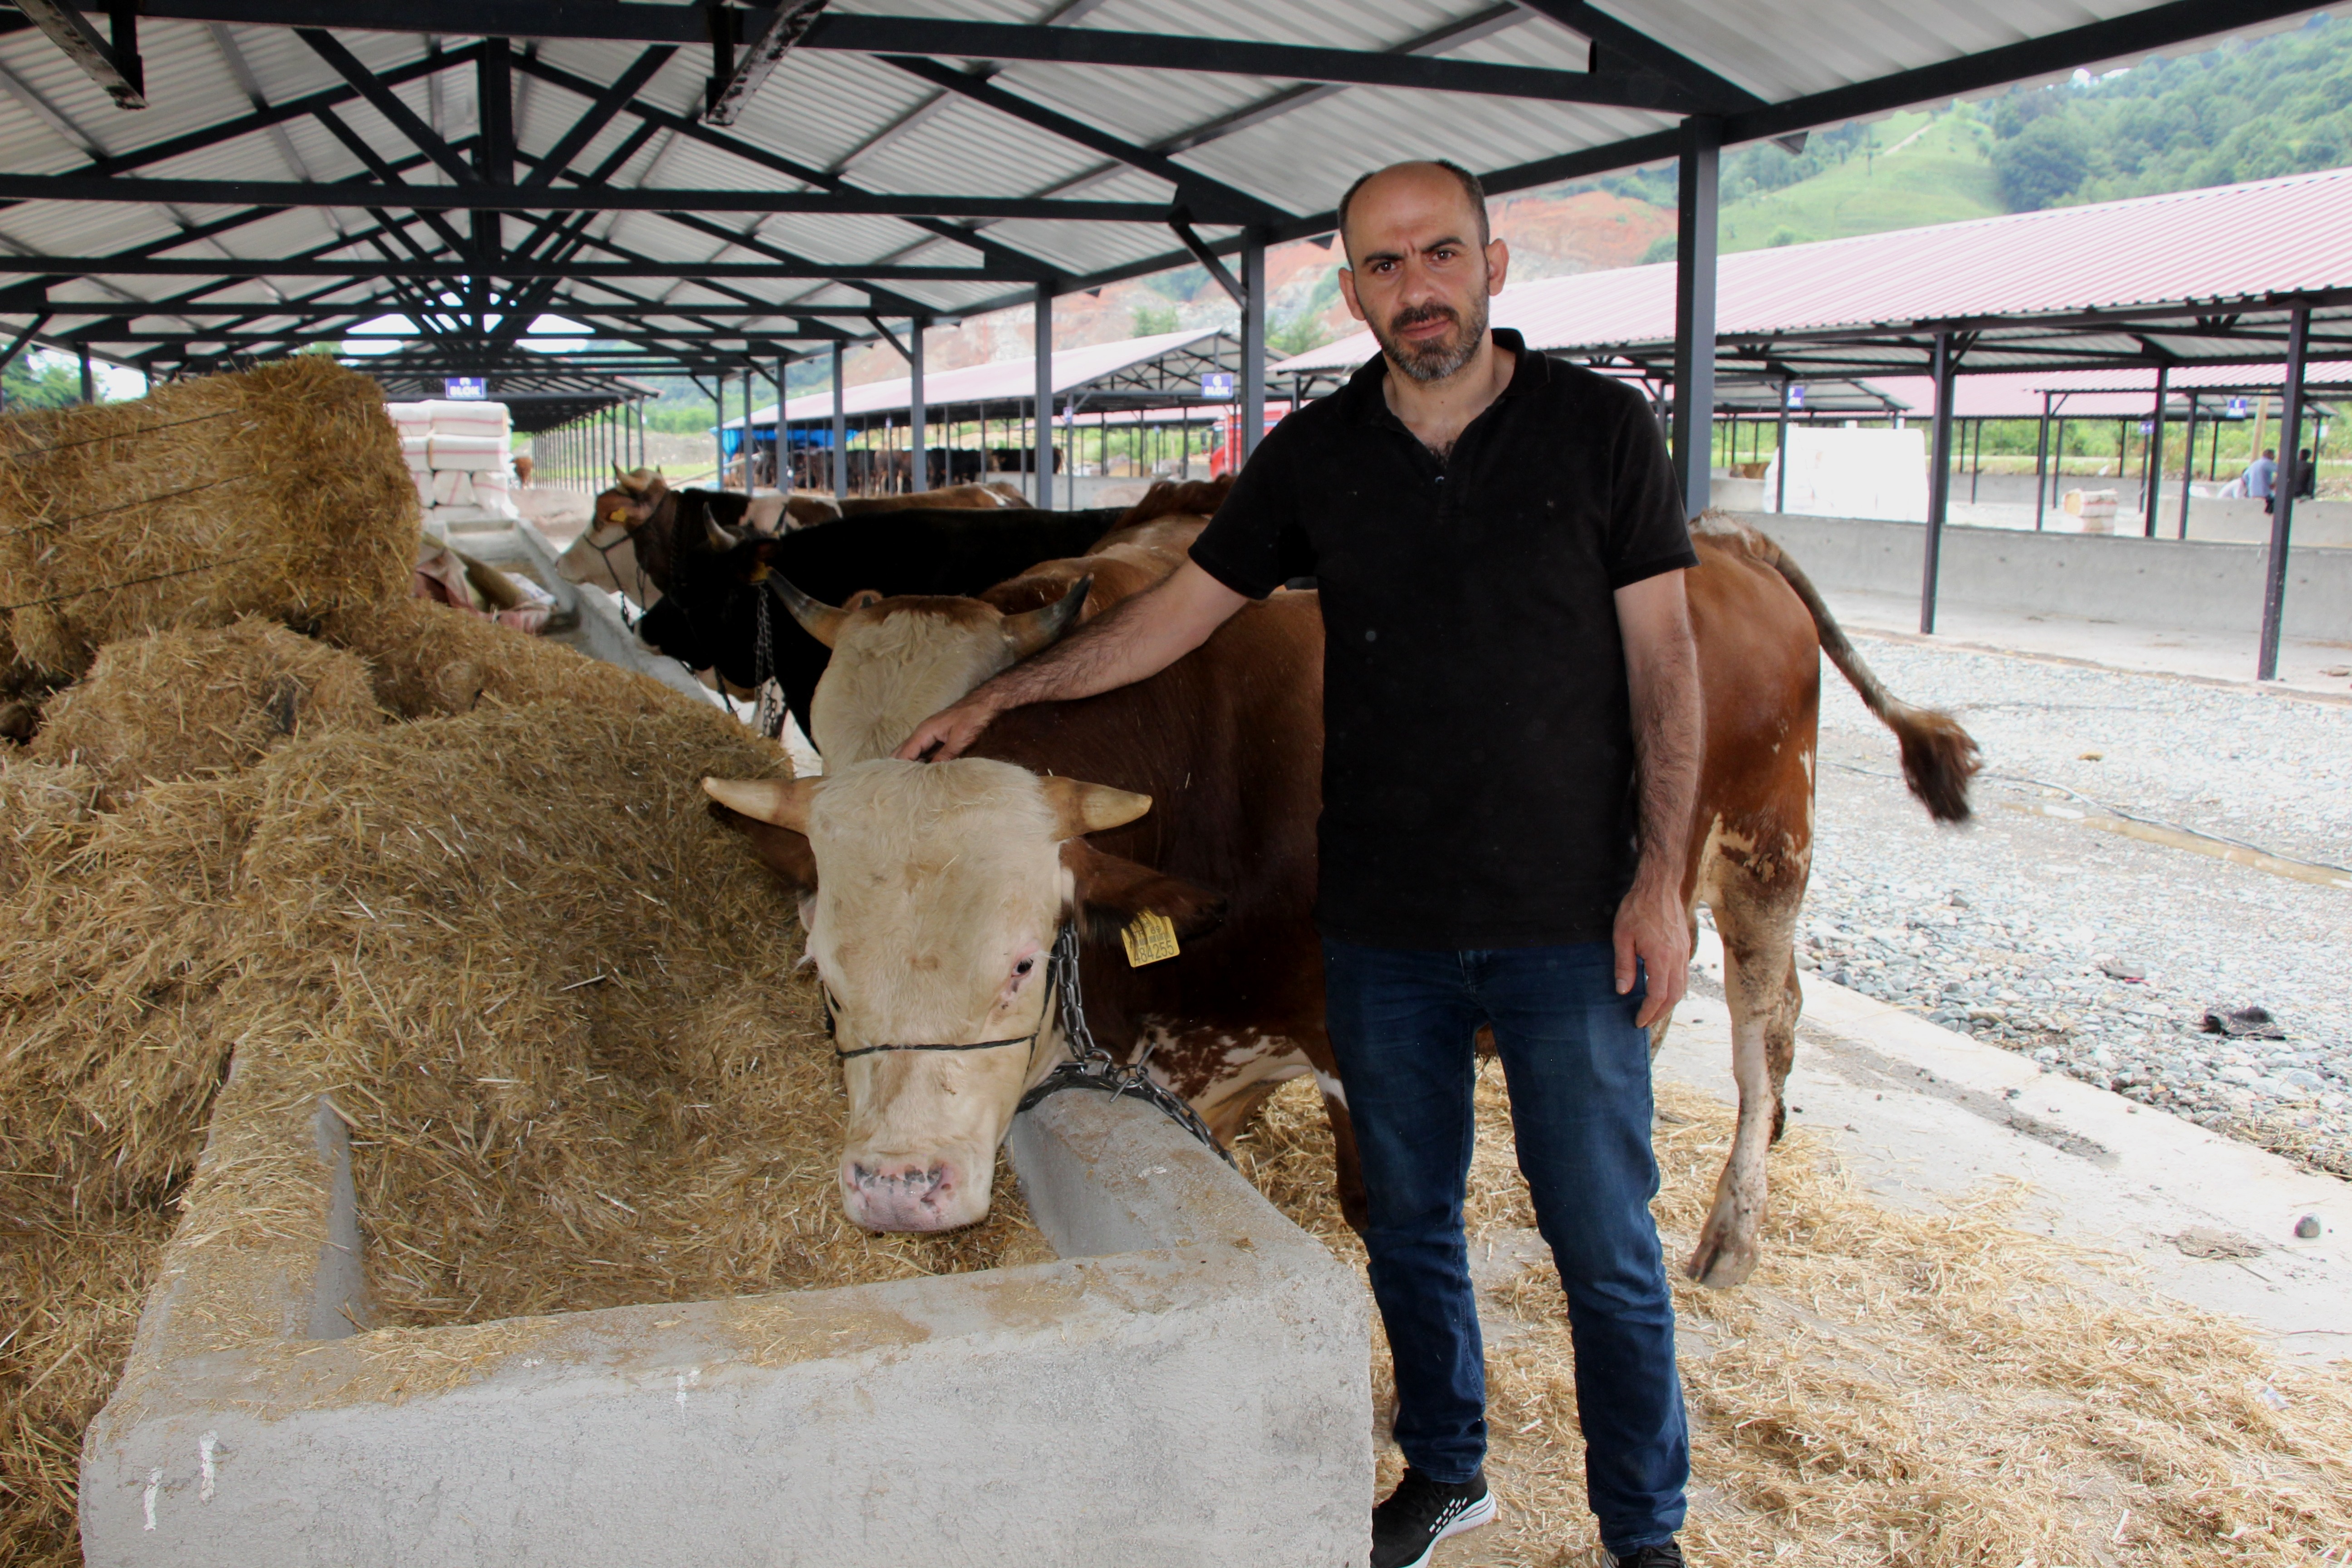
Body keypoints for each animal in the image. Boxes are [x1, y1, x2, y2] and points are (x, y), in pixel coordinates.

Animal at [701, 524, 1985, 1288]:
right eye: (830, 975)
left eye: (1019, 960)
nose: (896, 1188)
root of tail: (1724, 538)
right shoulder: (1196, 1068)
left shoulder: (1358, 1058)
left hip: (1769, 854)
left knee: (1765, 1029)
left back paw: (1728, 1229)